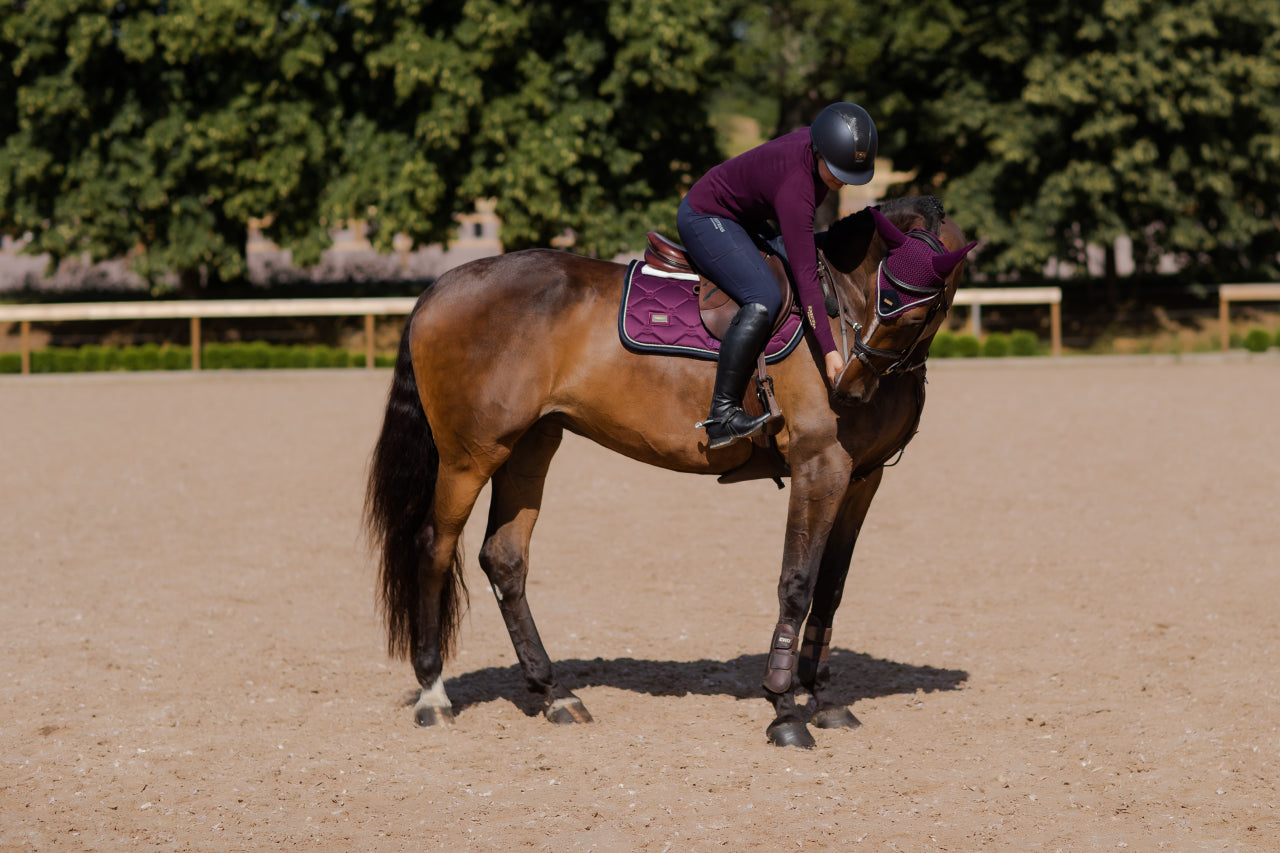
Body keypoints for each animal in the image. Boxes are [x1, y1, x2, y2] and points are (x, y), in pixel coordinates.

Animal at [360, 194, 967, 742]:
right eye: (885, 297)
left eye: (920, 309)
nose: (850, 387)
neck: (838, 316)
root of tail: (443, 285)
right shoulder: (819, 466)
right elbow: (797, 583)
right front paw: (784, 709)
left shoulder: (862, 476)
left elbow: (831, 588)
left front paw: (821, 699)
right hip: (471, 455)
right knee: (434, 548)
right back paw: (434, 694)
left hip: (530, 446)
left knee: (504, 558)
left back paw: (554, 693)